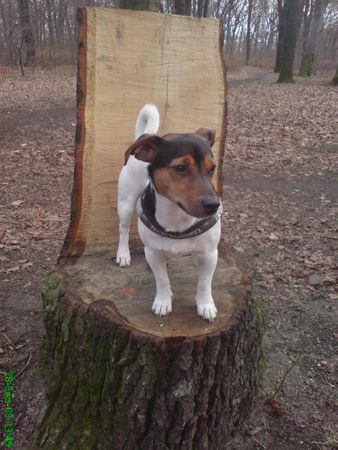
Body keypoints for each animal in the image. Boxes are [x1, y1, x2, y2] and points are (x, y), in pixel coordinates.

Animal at [116, 103, 222, 322]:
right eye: (180, 168)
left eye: (213, 168)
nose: (213, 205)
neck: (178, 217)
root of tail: (145, 135)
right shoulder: (152, 252)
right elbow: (162, 280)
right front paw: (163, 302)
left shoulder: (210, 254)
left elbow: (204, 283)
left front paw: (205, 304)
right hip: (125, 204)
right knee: (123, 230)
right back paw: (123, 254)